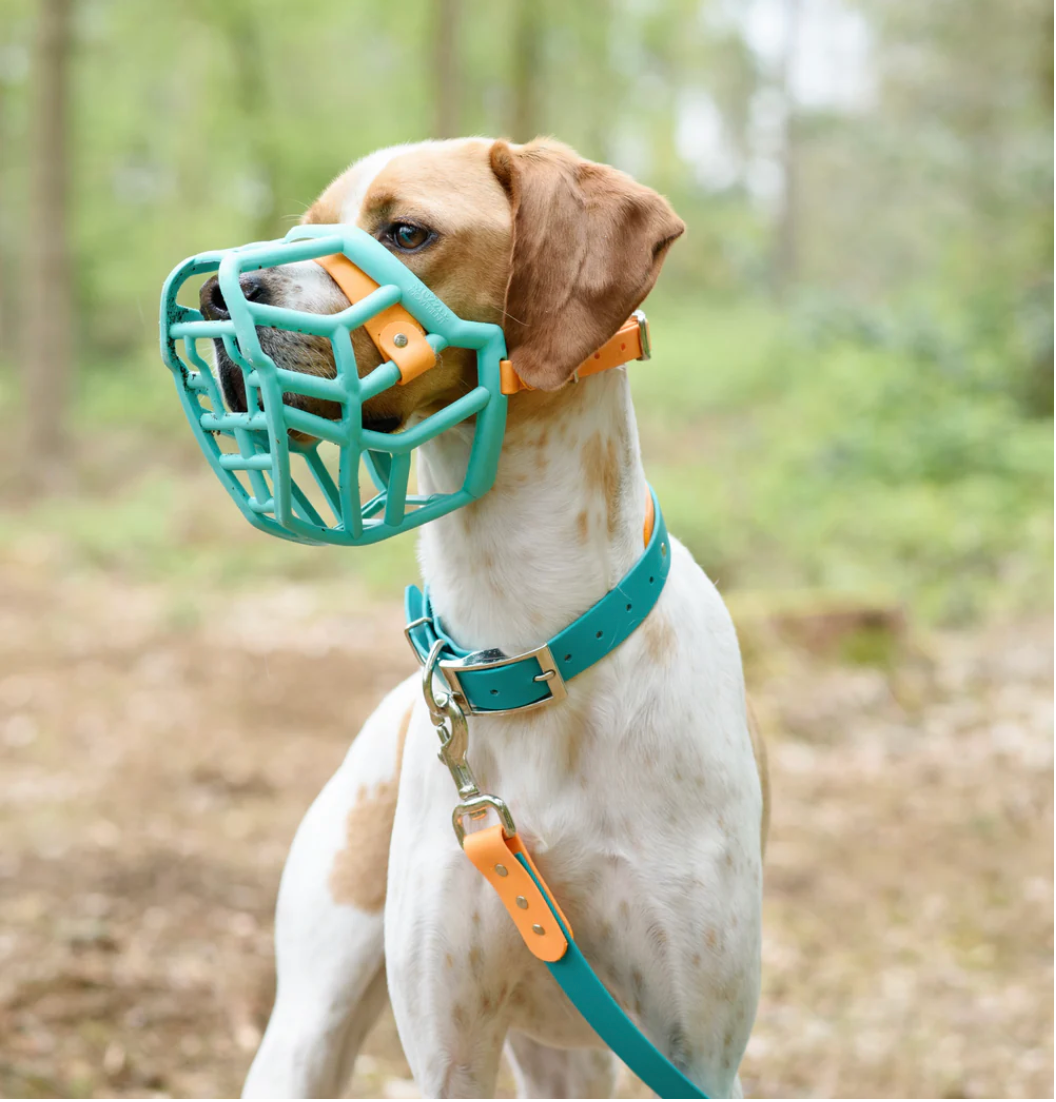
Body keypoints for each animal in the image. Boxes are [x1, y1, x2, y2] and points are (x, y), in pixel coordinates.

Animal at [208, 135, 767, 1093]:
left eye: (406, 232)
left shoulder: (699, 1053)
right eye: (302, 230)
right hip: (306, 1035)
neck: (525, 649)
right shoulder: (448, 1050)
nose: (214, 292)